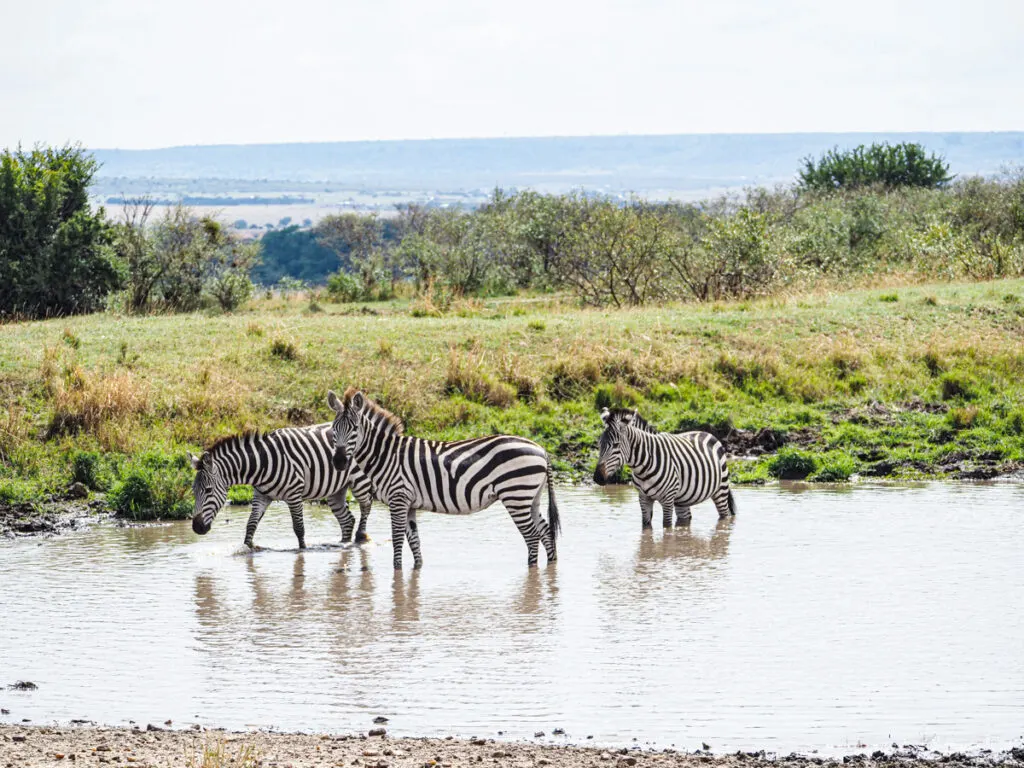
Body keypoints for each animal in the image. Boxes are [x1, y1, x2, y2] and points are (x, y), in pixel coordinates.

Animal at [189, 423, 376, 548]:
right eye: (193, 492)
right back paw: (343, 544)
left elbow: (299, 528)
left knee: (366, 506)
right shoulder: (261, 496)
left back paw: (361, 537)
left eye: (208, 490)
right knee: (347, 520)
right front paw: (248, 548)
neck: (262, 464)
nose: (196, 528)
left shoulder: (294, 494)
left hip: (359, 480)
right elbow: (251, 525)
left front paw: (303, 551)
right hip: (335, 490)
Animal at [325, 387, 561, 569]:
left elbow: (398, 539)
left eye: (355, 428)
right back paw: (551, 567)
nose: (339, 462)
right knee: (546, 532)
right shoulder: (409, 503)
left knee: (532, 536)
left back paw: (531, 570)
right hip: (531, 497)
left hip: (516, 494)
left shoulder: (398, 498)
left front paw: (397, 571)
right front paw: (417, 569)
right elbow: (414, 541)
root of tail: (541, 449)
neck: (387, 455)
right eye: (333, 429)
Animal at [593, 409, 737, 528]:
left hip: (721, 489)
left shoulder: (667, 499)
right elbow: (646, 528)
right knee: (685, 519)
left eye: (616, 445)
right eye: (599, 444)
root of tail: (706, 433)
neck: (643, 468)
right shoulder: (643, 498)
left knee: (725, 515)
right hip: (682, 500)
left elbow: (667, 528)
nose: (597, 478)